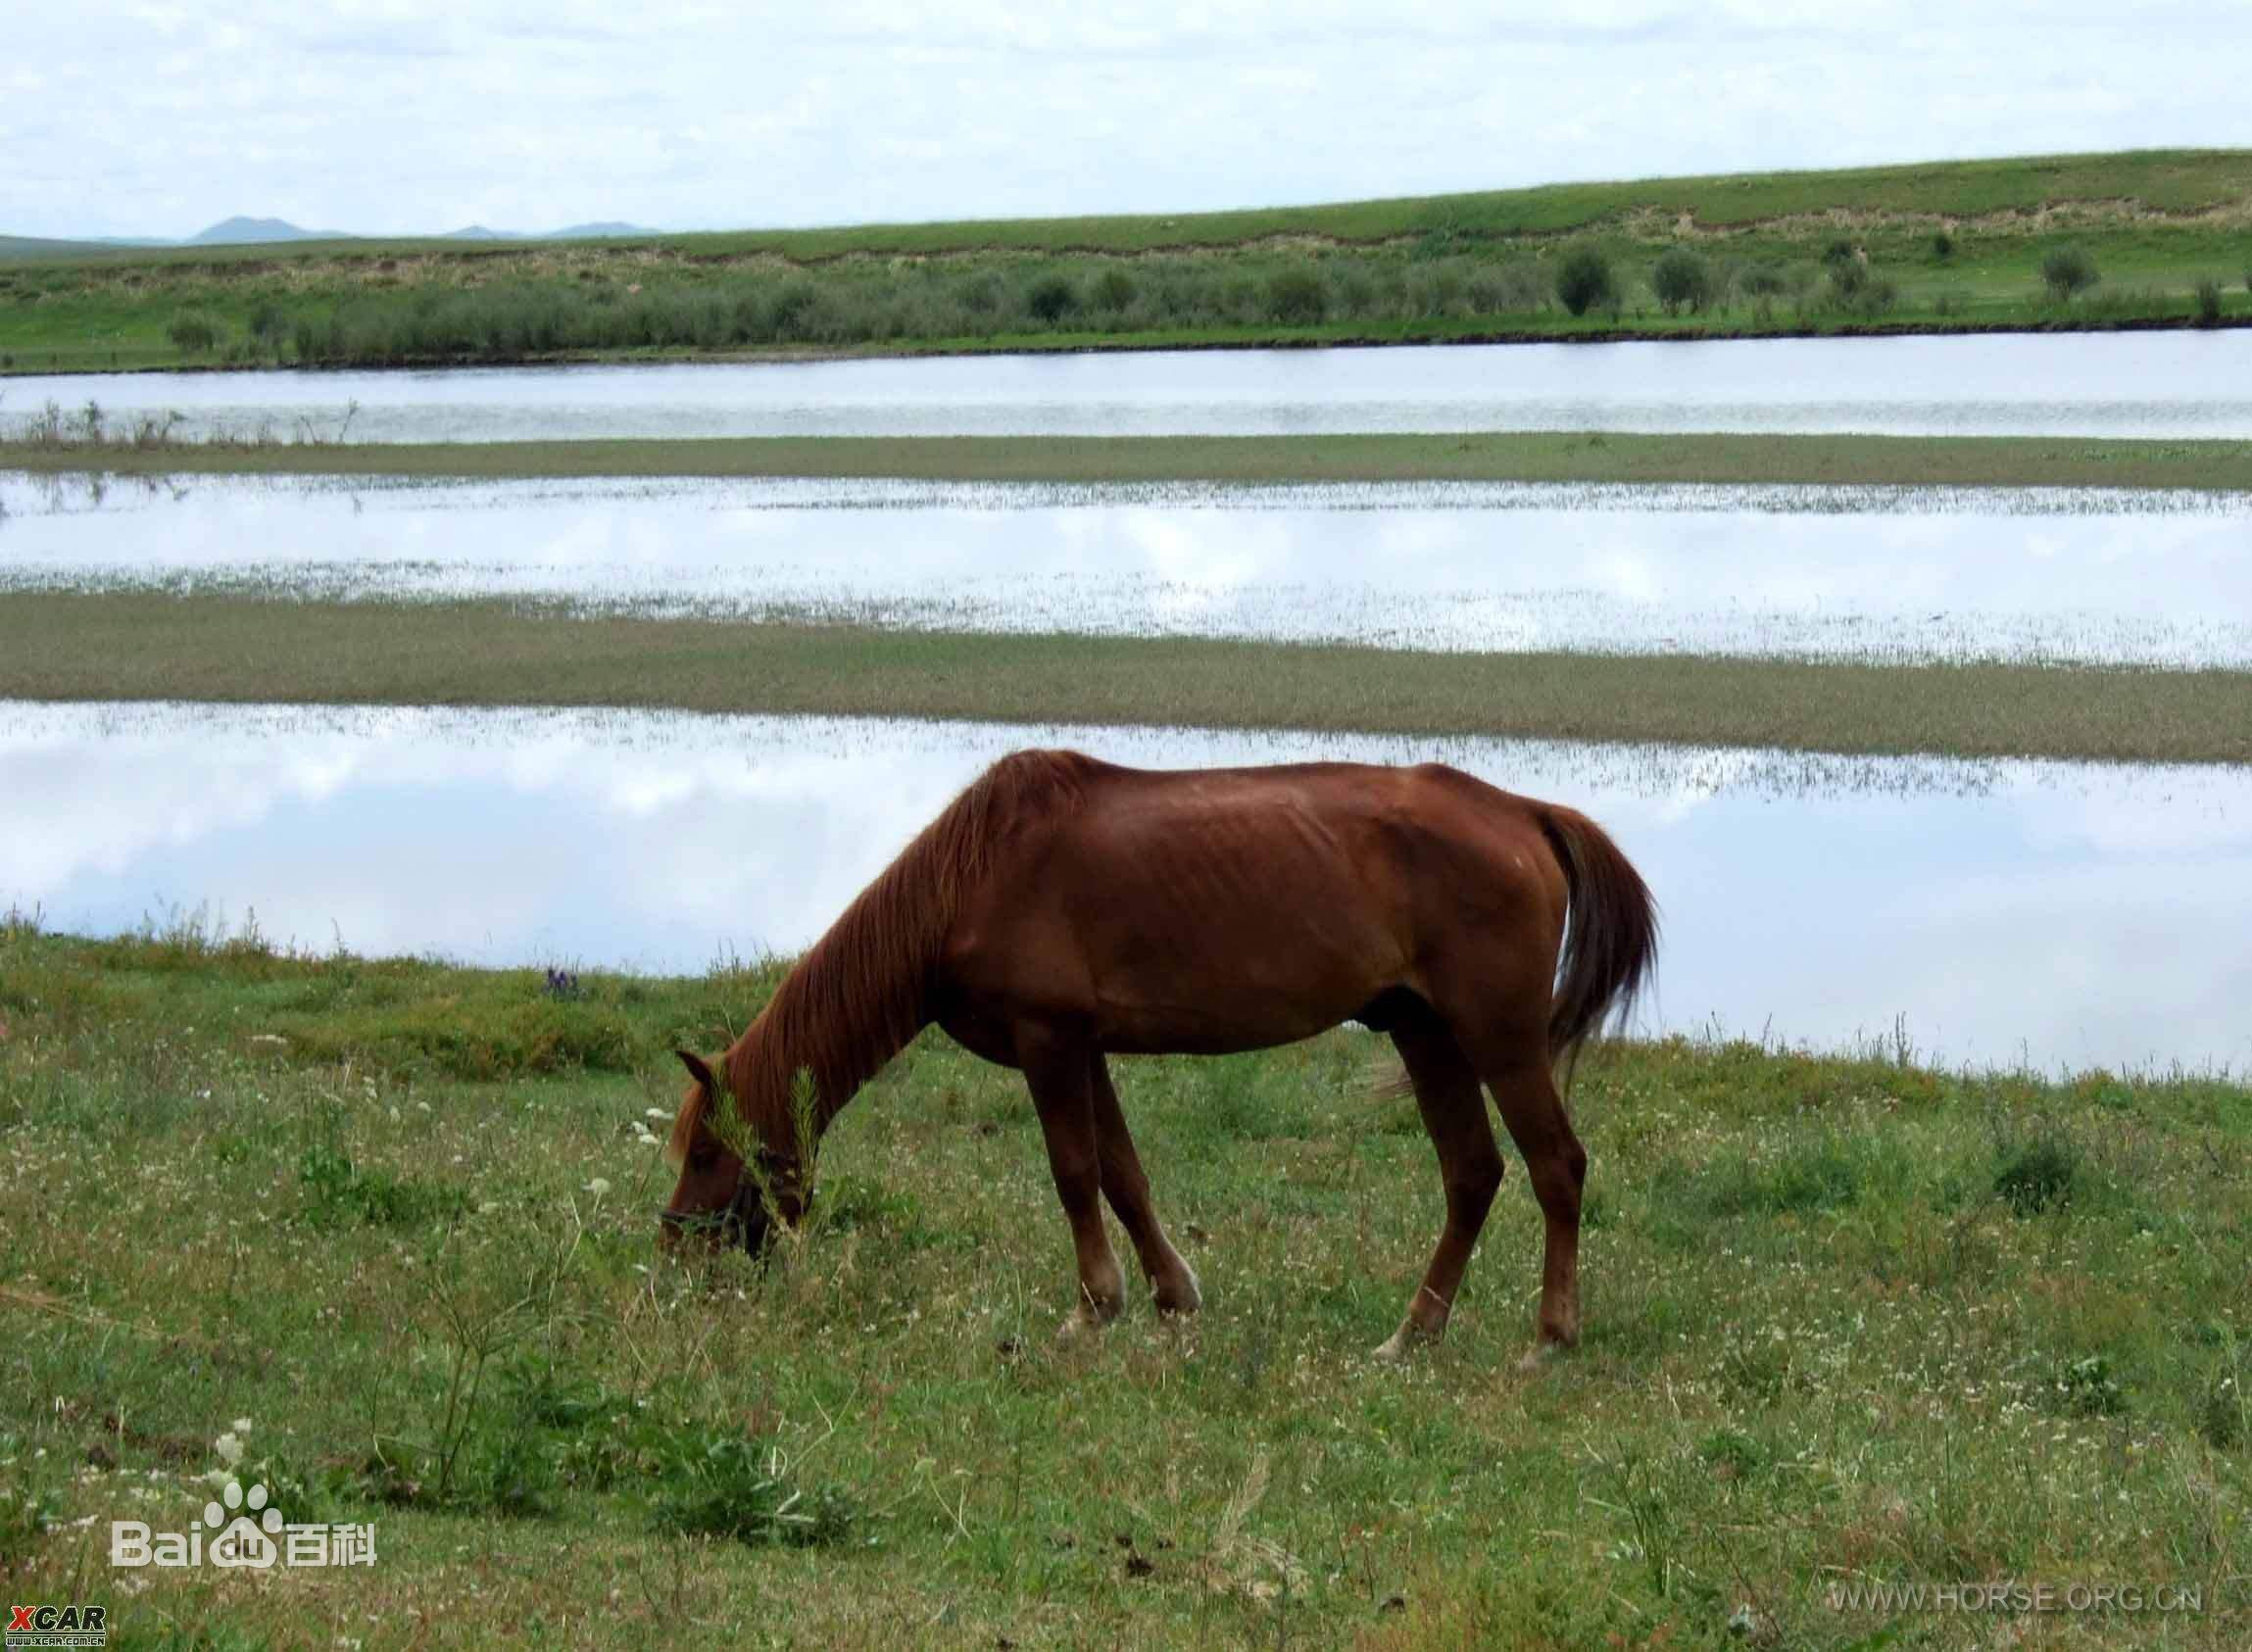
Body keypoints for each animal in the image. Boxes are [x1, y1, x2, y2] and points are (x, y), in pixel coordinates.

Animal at [658, 755, 1657, 1368]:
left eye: (707, 1152)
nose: (676, 1253)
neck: (967, 884)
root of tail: (1526, 813)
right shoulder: (1083, 1047)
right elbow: (1123, 1176)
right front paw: (1171, 1296)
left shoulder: (1049, 1041)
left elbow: (1073, 1174)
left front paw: (1092, 1307)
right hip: (1425, 1033)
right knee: (1473, 1174)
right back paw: (1410, 1337)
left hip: (1497, 1036)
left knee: (1555, 1166)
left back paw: (1550, 1336)